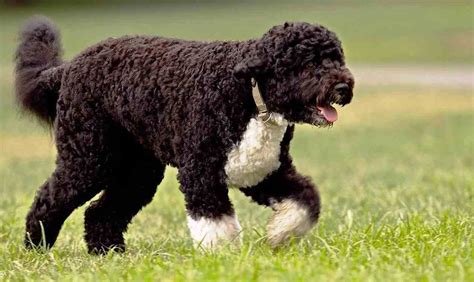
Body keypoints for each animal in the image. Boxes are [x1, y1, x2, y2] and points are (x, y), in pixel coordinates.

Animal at [15, 16, 352, 252]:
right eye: (307, 63)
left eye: (336, 58)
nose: (343, 86)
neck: (248, 93)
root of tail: (68, 68)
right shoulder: (200, 173)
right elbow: (216, 222)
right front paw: (223, 259)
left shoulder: (265, 172)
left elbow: (305, 201)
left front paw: (279, 234)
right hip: (89, 159)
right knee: (48, 198)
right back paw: (36, 246)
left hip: (138, 171)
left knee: (101, 212)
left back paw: (109, 253)